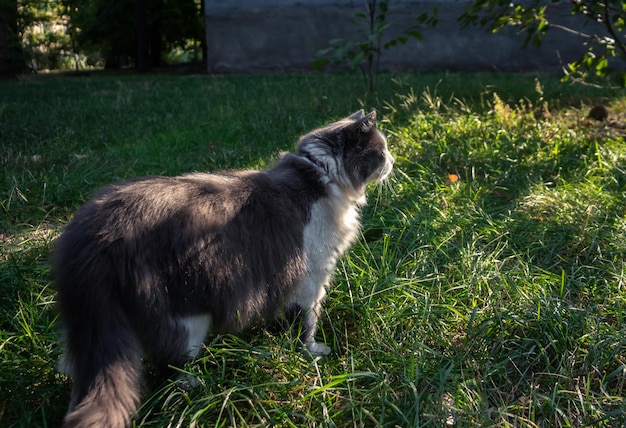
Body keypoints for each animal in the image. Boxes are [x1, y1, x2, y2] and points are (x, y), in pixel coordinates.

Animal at [56, 110, 392, 428]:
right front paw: (312, 352)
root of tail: (94, 233)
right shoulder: (310, 279)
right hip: (186, 317)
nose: (393, 160)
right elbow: (305, 323)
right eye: (381, 149)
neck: (318, 178)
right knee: (170, 367)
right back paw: (196, 386)